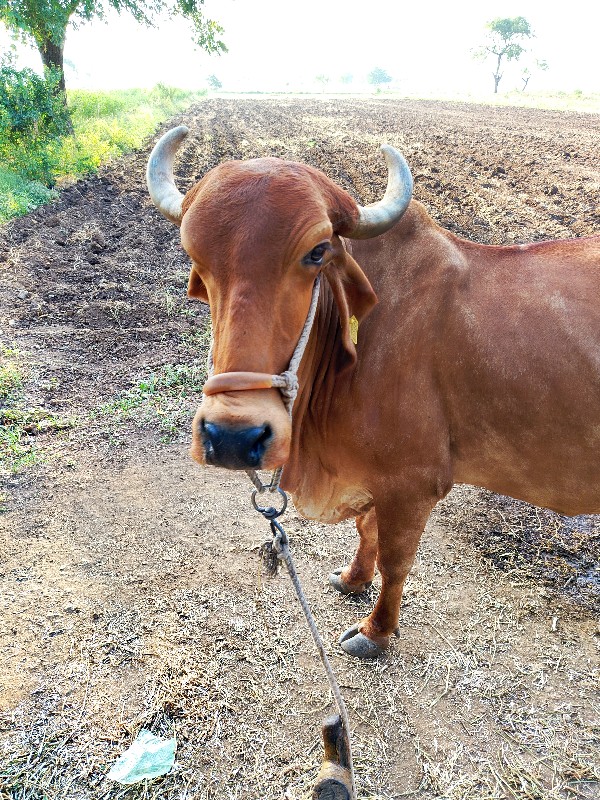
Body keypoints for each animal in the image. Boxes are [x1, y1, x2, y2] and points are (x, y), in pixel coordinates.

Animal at [146, 128, 600, 660]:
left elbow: (395, 559)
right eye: (195, 256)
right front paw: (352, 578)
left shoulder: (413, 485)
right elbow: (367, 533)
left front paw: (376, 631)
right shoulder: (370, 478)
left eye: (318, 252)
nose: (233, 437)